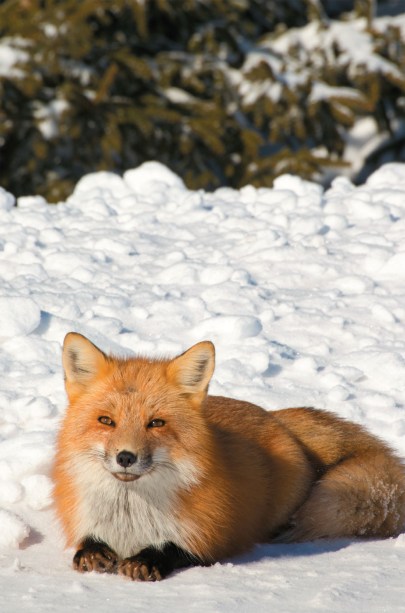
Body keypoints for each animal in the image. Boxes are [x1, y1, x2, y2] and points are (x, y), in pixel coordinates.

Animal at [53, 334, 404, 580]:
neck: (130, 518)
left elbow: (177, 550)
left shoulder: (212, 537)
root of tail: (274, 416)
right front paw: (92, 554)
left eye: (156, 423)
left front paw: (148, 560)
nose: (125, 457)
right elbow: (86, 544)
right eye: (106, 421)